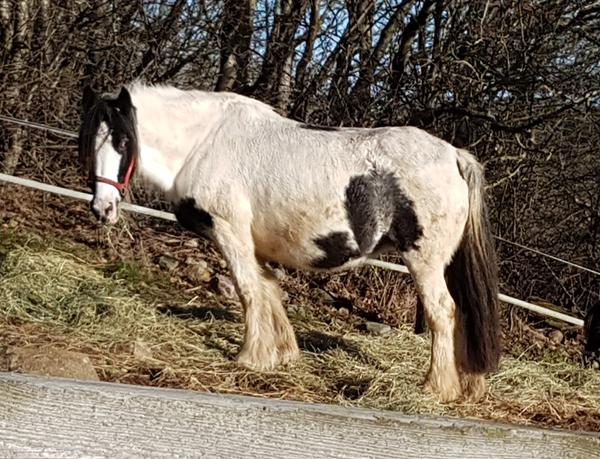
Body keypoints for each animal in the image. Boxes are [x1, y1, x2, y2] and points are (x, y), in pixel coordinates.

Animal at [79, 82, 502, 402]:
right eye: (87, 142)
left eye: (122, 141)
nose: (103, 208)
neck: (205, 141)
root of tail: (454, 156)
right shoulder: (256, 245)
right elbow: (270, 291)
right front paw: (280, 354)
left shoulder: (230, 233)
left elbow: (248, 290)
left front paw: (249, 357)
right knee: (464, 311)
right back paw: (469, 384)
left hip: (424, 260)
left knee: (443, 312)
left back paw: (436, 387)